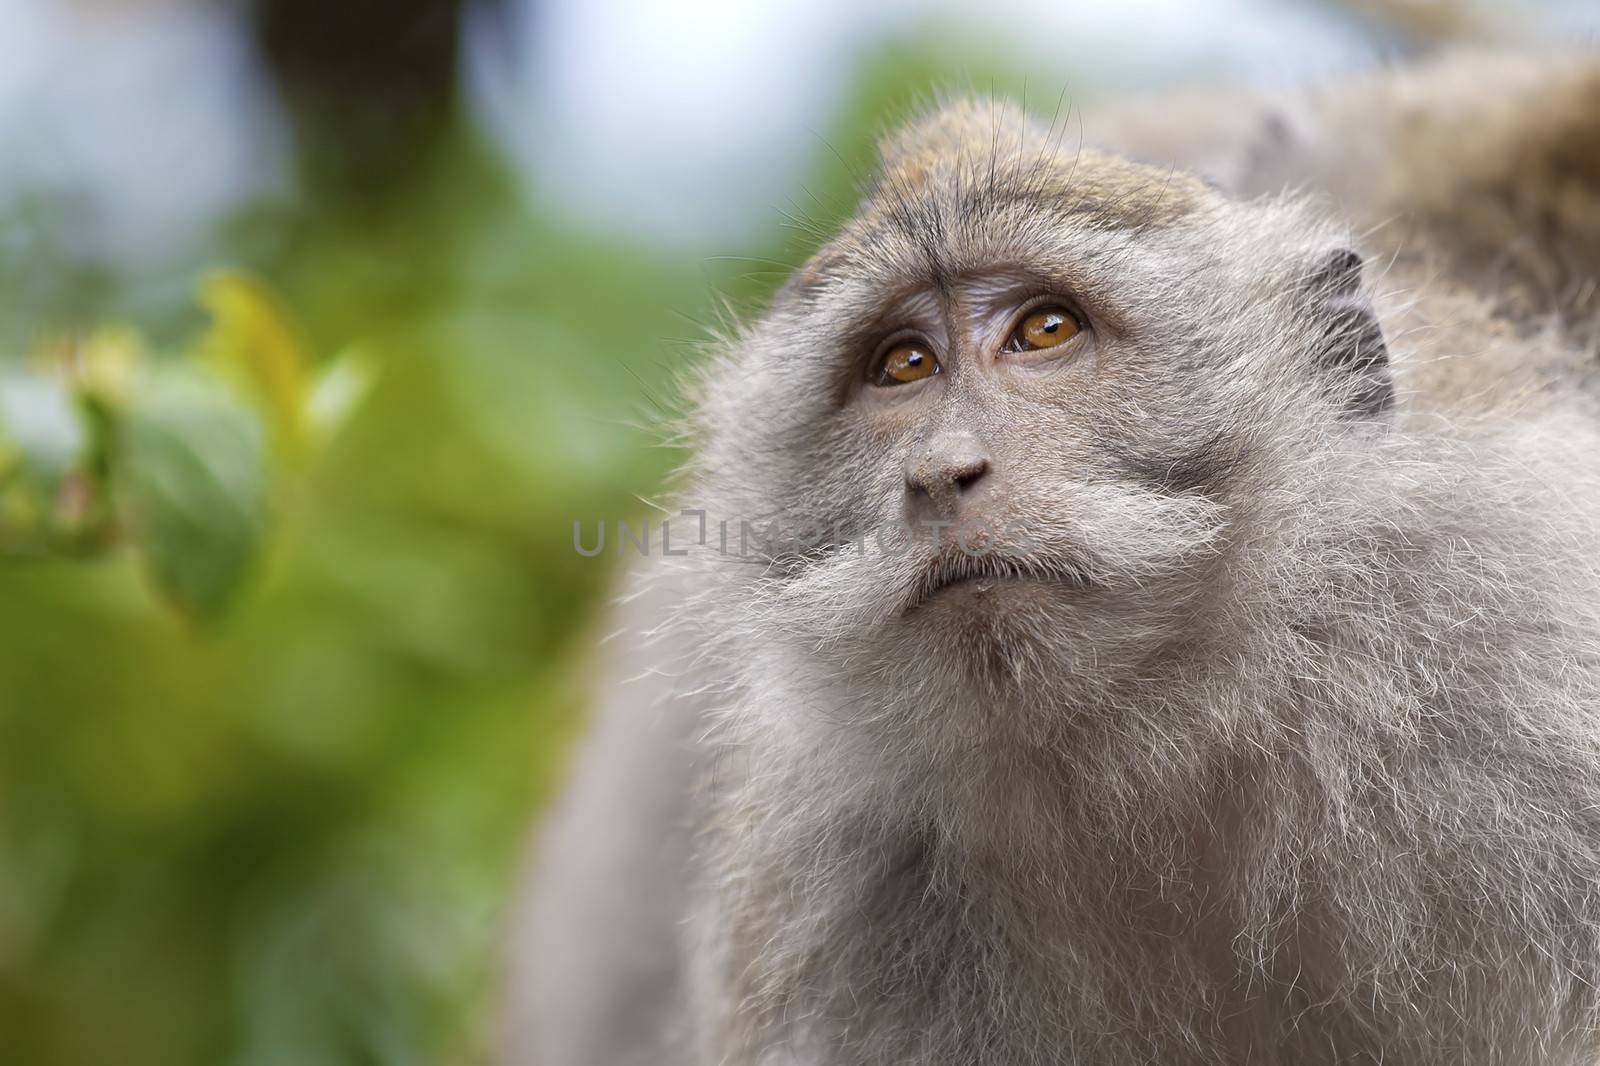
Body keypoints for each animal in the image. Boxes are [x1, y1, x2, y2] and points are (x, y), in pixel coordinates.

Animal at [505, 49, 1600, 1062]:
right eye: (904, 364)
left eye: (1044, 331)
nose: (942, 473)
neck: (1170, 749)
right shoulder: (837, 882)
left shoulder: (1525, 670)